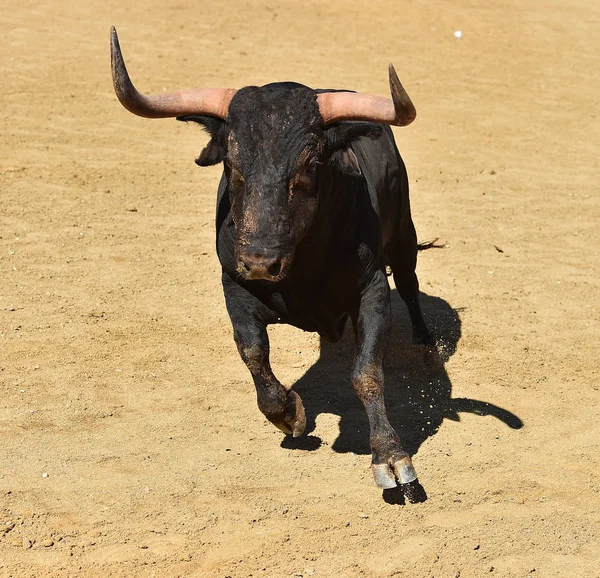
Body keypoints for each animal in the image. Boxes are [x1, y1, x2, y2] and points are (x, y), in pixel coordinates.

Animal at [109, 27, 436, 498]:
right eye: (232, 163)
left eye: (310, 164)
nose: (260, 262)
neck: (300, 271)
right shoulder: (234, 285)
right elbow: (253, 354)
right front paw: (290, 414)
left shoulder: (372, 288)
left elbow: (367, 373)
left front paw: (392, 460)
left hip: (404, 235)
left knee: (410, 285)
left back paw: (428, 349)